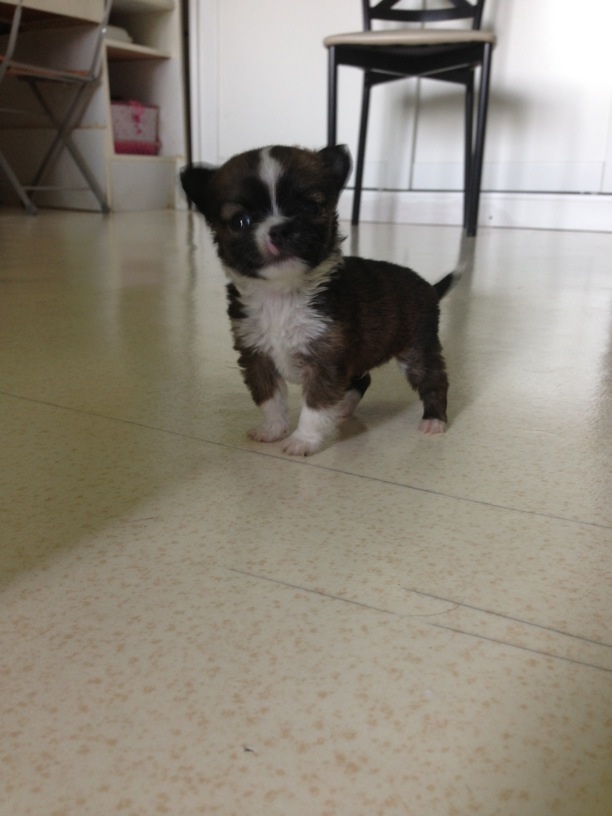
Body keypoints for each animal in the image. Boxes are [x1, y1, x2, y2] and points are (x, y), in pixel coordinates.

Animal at [180, 144, 455, 456]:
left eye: (311, 208)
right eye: (241, 221)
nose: (281, 229)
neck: (282, 295)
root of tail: (430, 287)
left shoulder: (326, 361)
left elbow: (315, 406)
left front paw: (303, 440)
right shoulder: (258, 357)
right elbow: (270, 400)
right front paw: (273, 430)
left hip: (417, 349)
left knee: (434, 381)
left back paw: (434, 420)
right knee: (363, 378)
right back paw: (345, 407)